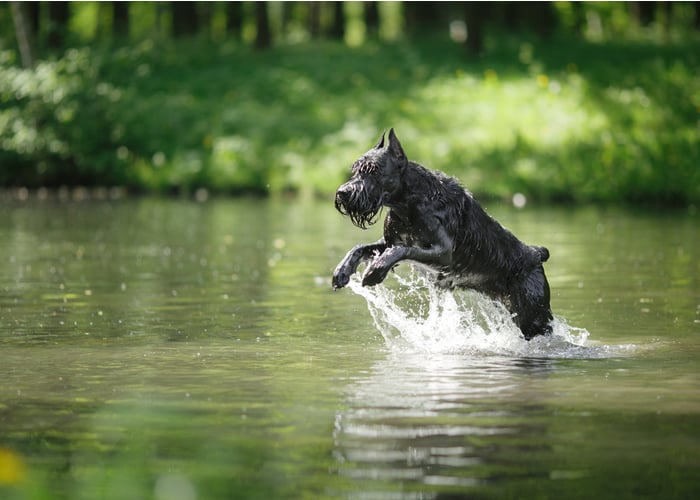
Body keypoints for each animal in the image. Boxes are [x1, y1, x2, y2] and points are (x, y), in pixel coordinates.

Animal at [332, 129, 552, 340]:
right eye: (355, 170)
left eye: (373, 171)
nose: (343, 192)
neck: (407, 203)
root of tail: (536, 253)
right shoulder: (389, 241)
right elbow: (360, 248)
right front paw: (342, 270)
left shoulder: (443, 253)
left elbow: (403, 250)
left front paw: (376, 270)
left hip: (533, 318)